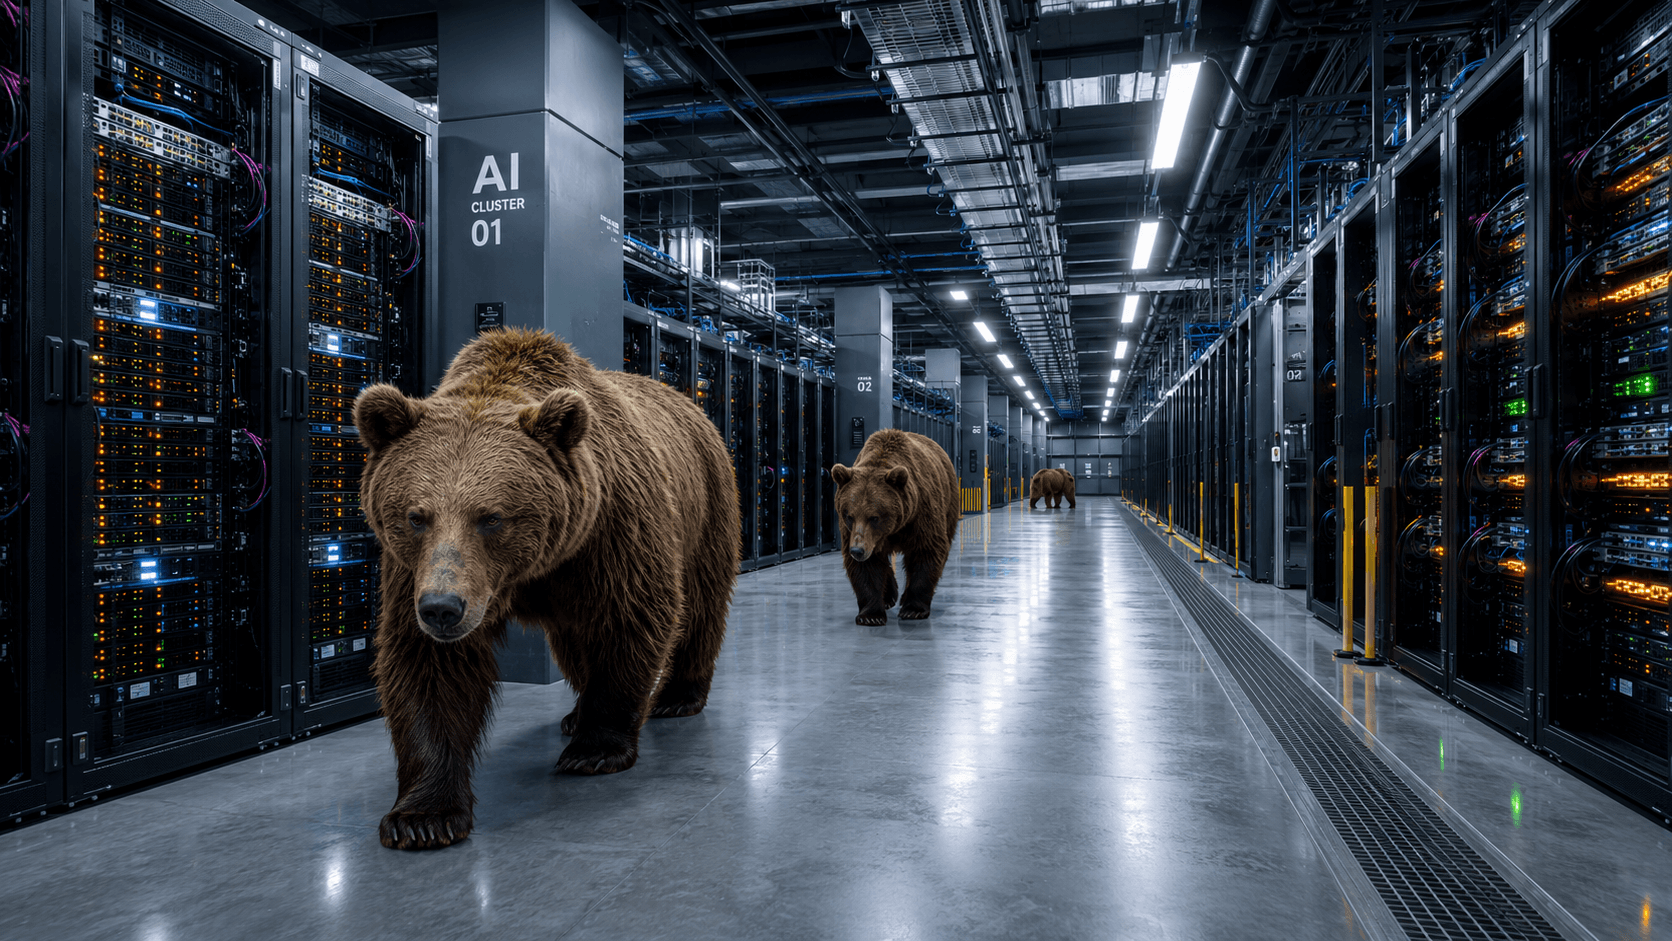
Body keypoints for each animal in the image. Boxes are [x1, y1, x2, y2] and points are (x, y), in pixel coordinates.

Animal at [353, 327, 739, 851]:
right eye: (417, 516)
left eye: (491, 517)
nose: (443, 609)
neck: (532, 570)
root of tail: (690, 404)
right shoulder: (413, 571)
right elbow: (427, 665)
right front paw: (422, 815)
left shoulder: (611, 531)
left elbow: (632, 617)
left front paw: (595, 750)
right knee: (574, 644)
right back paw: (575, 712)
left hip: (706, 507)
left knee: (700, 606)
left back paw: (676, 696)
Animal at [830, 429, 961, 626]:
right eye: (849, 515)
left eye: (874, 517)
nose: (857, 551)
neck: (894, 528)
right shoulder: (853, 533)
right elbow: (867, 567)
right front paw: (871, 615)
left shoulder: (921, 515)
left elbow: (927, 551)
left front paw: (913, 610)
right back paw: (889, 596)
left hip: (949, 503)